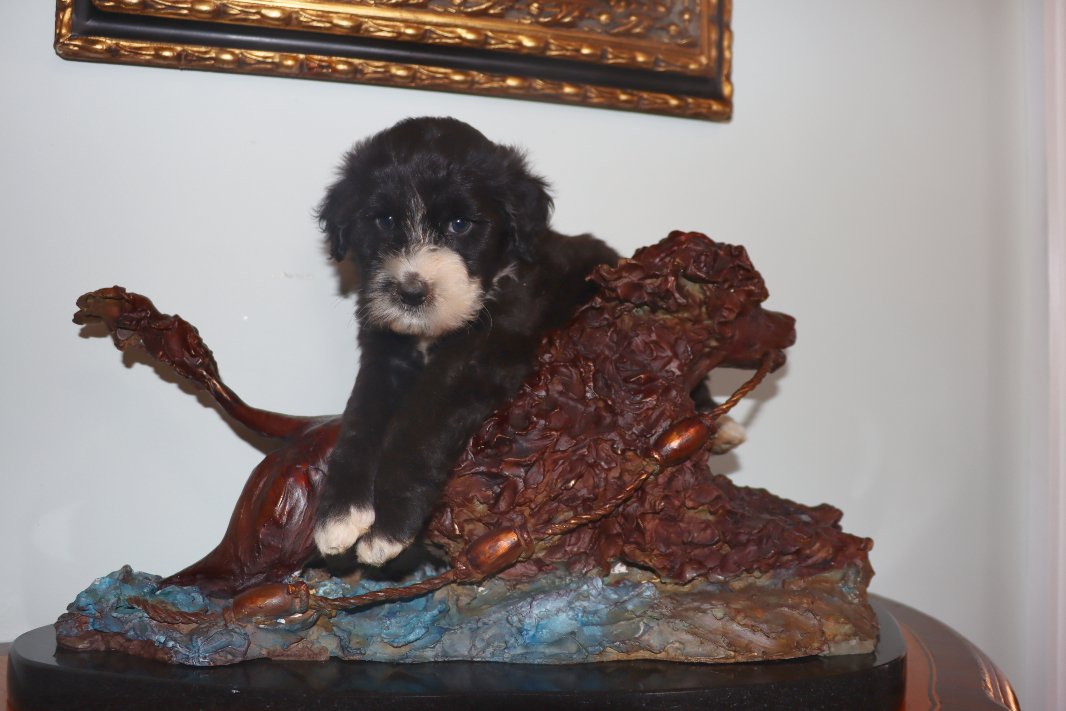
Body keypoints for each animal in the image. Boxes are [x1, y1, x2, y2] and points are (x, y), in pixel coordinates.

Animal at [313, 117, 743, 568]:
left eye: (460, 225)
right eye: (384, 220)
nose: (411, 292)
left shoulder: (478, 360)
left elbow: (420, 423)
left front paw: (389, 526)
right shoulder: (386, 353)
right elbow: (361, 417)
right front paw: (339, 514)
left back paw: (719, 423)